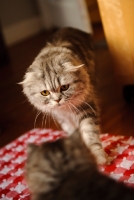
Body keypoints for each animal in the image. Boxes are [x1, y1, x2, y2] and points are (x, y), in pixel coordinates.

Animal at [21, 27, 107, 165]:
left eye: (64, 87)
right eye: (45, 93)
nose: (57, 100)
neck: (66, 109)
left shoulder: (86, 108)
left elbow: (90, 134)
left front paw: (99, 157)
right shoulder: (62, 117)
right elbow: (73, 132)